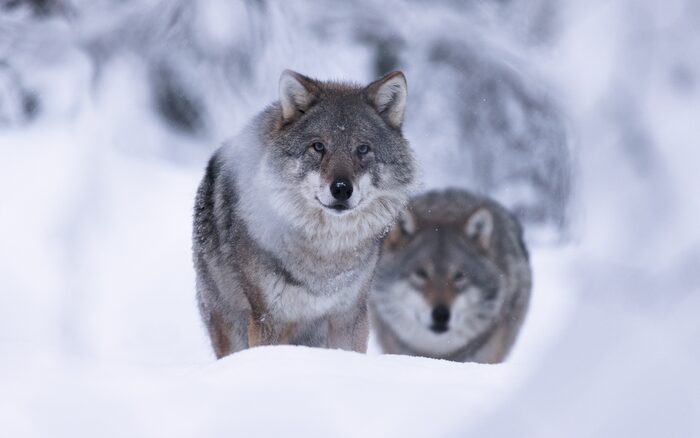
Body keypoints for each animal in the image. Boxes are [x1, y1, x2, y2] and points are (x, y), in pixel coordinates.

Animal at [193, 70, 417, 358]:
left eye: (363, 149)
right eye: (318, 146)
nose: (341, 189)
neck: (325, 258)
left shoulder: (349, 315)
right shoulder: (268, 318)